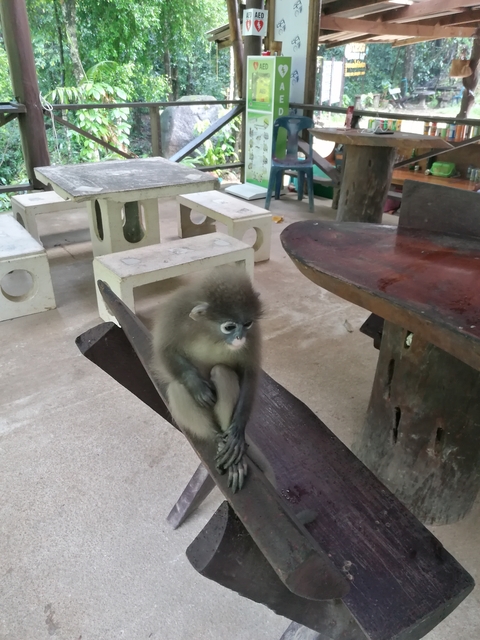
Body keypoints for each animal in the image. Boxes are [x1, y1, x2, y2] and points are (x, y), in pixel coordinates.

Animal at [151, 266, 263, 492]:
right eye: (229, 327)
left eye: (247, 324)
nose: (240, 337)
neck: (209, 333)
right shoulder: (175, 313)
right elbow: (164, 351)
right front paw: (197, 386)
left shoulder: (253, 334)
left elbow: (250, 372)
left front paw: (237, 431)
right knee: (177, 388)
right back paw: (216, 438)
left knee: (222, 371)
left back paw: (232, 452)